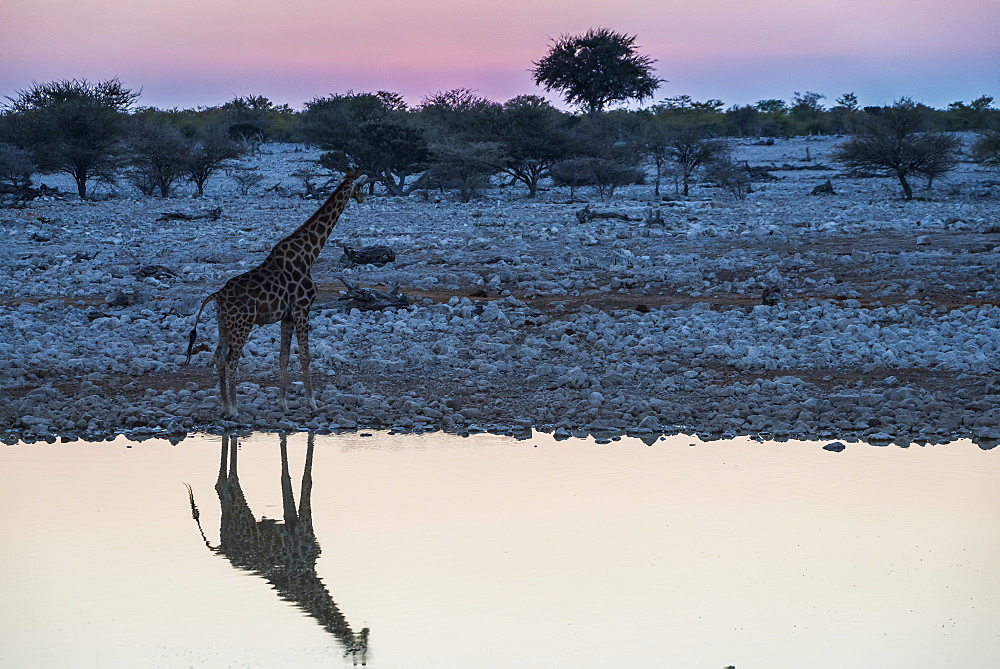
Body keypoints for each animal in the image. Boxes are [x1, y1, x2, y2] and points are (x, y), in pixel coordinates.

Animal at [186, 170, 366, 414]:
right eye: (361, 186)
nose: (363, 198)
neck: (309, 256)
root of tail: (218, 295)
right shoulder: (302, 309)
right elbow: (305, 356)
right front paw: (312, 403)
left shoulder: (287, 316)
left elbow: (284, 357)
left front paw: (283, 404)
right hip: (243, 323)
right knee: (232, 359)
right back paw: (234, 409)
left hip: (223, 322)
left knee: (219, 356)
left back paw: (223, 406)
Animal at [186, 434, 370, 664]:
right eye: (362, 649)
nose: (366, 631)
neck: (309, 574)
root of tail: (224, 549)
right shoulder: (302, 526)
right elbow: (296, 480)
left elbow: (299, 474)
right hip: (241, 515)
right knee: (230, 482)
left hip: (231, 519)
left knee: (223, 485)